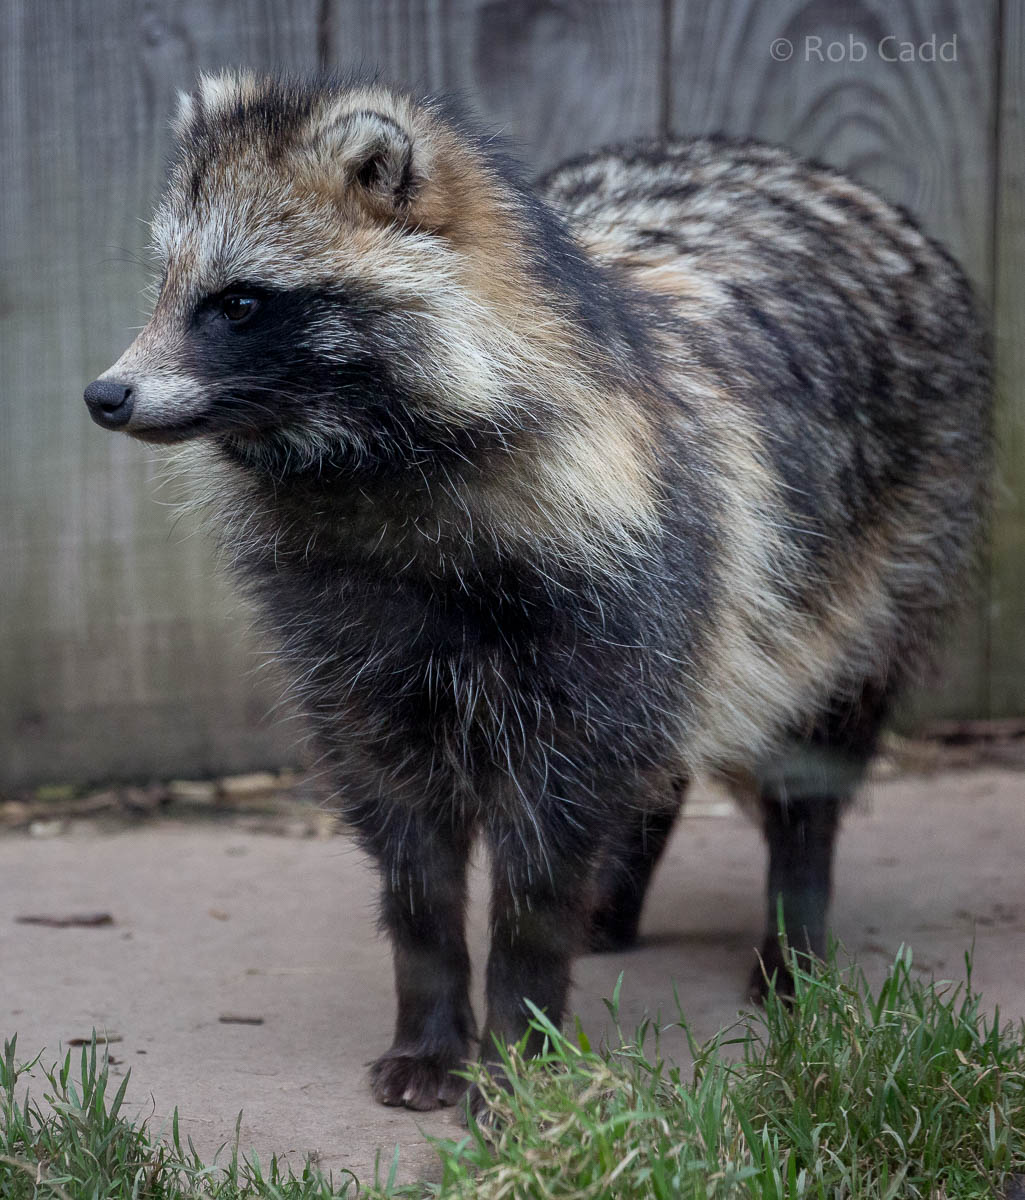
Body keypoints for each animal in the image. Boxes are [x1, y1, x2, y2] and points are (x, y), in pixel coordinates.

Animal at [84, 72, 991, 1113]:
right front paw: (433, 1017)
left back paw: (791, 931)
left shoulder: (615, 583)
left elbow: (542, 864)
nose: (105, 396)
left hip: (871, 563)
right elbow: (412, 862)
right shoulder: (355, 650)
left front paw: (523, 1041)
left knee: (813, 751)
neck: (367, 477)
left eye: (239, 302)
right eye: (167, 285)